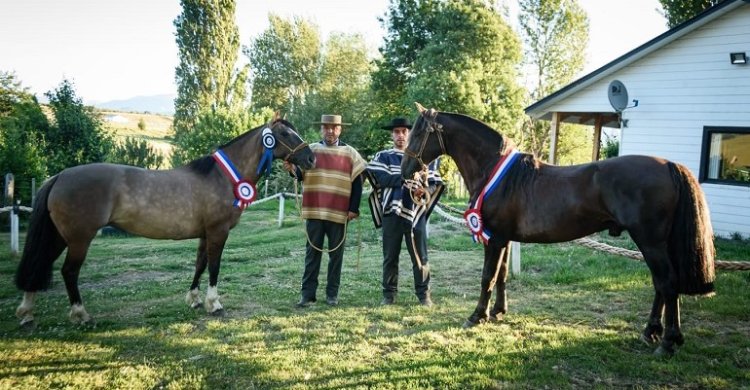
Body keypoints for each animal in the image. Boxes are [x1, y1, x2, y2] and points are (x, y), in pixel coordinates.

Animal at [15, 118, 314, 326]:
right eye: (284, 134)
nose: (310, 158)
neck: (222, 177)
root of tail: (60, 176)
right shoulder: (218, 232)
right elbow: (214, 267)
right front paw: (214, 303)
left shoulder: (205, 233)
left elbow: (199, 264)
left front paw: (194, 299)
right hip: (79, 239)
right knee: (69, 272)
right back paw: (81, 314)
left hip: (59, 236)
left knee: (40, 264)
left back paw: (27, 313)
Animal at [402, 105, 720, 354]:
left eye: (418, 134)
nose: (406, 170)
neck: (495, 172)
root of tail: (669, 164)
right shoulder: (503, 239)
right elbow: (501, 276)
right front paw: (498, 313)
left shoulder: (494, 239)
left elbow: (487, 278)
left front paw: (477, 316)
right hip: (656, 244)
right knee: (660, 285)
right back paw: (651, 332)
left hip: (650, 242)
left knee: (667, 284)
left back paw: (667, 342)